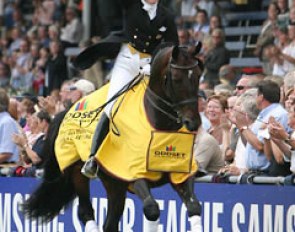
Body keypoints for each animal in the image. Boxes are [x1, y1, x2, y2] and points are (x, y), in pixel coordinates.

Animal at [23, 43, 205, 232]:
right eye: (176, 78)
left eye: (198, 75)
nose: (193, 122)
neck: (159, 125)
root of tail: (69, 109)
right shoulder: (133, 173)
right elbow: (152, 209)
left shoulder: (179, 174)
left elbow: (194, 207)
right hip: (77, 173)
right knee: (86, 211)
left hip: (113, 184)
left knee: (110, 222)